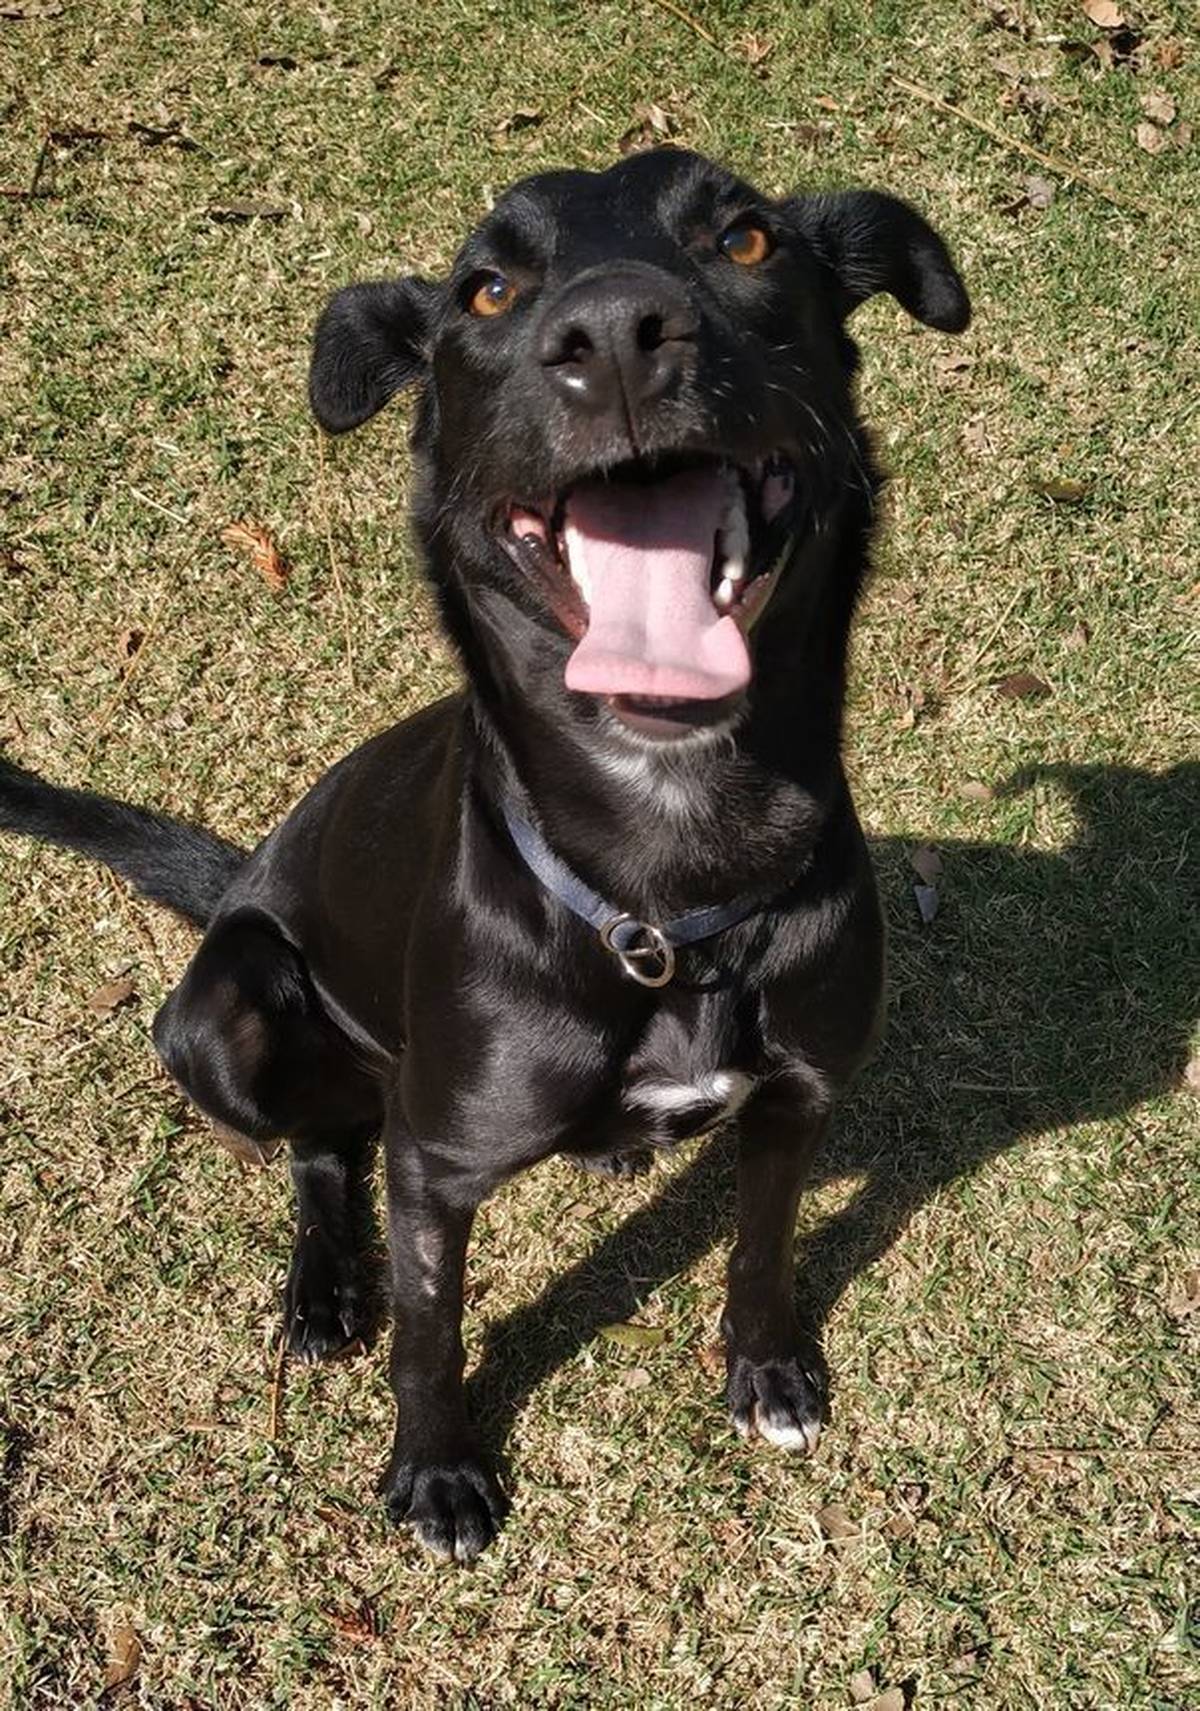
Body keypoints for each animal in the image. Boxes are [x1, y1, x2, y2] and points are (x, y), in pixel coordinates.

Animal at [0, 147, 969, 1562]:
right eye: (490, 289)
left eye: (744, 240)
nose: (614, 332)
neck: (668, 880)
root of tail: (240, 882)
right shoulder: (436, 1160)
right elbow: (431, 1326)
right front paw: (437, 1469)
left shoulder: (799, 1098)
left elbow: (763, 1244)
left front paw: (766, 1367)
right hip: (227, 1012)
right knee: (320, 1141)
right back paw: (321, 1288)